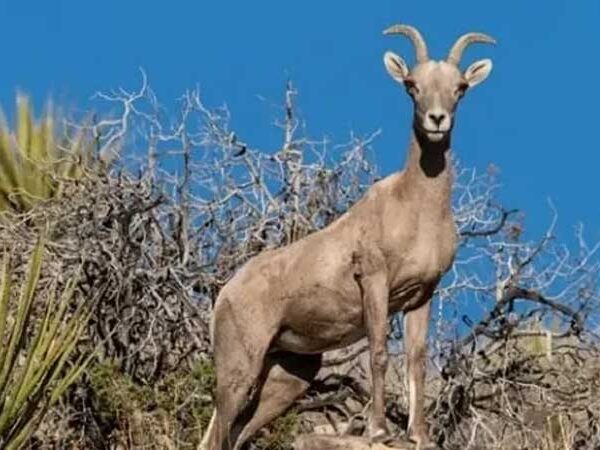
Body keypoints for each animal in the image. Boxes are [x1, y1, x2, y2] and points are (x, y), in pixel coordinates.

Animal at [200, 23, 492, 450]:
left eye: (460, 87)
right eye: (411, 85)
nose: (436, 120)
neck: (418, 208)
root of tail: (226, 294)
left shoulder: (422, 296)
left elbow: (416, 363)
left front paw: (418, 435)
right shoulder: (374, 281)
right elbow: (379, 354)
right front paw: (379, 430)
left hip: (285, 379)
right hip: (239, 367)